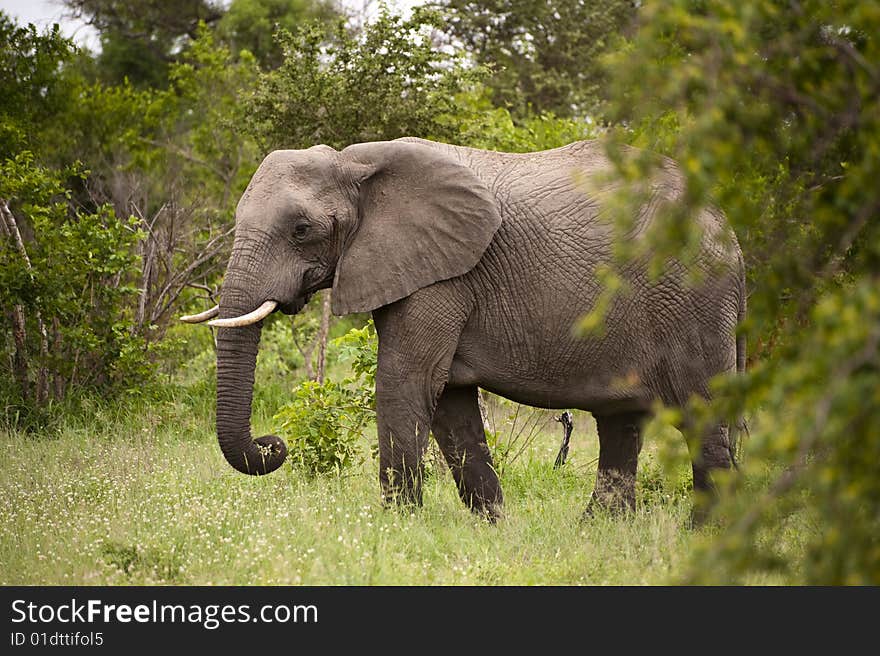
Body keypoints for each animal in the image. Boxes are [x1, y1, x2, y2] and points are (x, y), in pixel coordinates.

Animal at [182, 137, 744, 524]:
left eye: (301, 229)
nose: (273, 445)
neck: (355, 166)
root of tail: (730, 232)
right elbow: (449, 399)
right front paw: (494, 527)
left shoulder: (443, 276)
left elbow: (405, 382)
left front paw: (398, 526)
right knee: (620, 421)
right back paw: (599, 530)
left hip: (692, 298)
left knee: (699, 415)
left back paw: (704, 535)